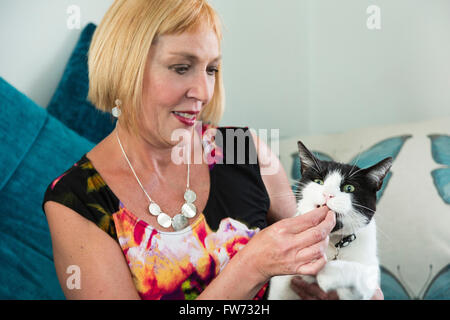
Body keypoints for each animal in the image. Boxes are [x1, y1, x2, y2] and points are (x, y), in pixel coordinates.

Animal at [268, 141, 392, 300]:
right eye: (318, 181)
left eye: (349, 188)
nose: (327, 194)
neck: (333, 242)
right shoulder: (280, 286)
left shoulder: (370, 272)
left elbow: (360, 271)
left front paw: (327, 272)